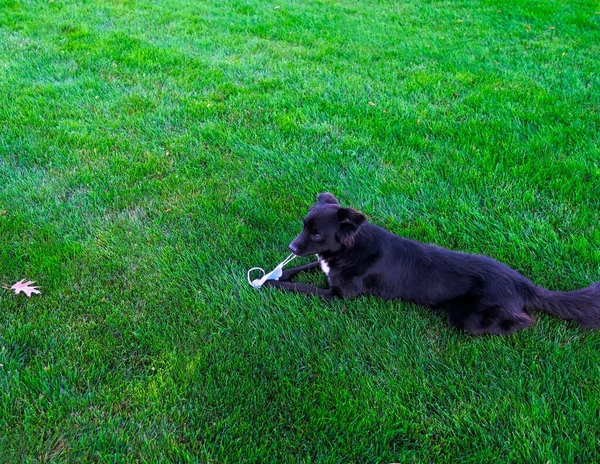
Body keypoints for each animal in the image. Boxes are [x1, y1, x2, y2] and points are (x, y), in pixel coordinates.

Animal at [264, 192, 600, 334]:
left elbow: (302, 288)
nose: (291, 246)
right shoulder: (326, 267)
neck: (352, 247)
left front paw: (270, 285)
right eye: (304, 226)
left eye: (316, 233)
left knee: (521, 321)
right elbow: (300, 269)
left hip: (471, 320)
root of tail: (521, 283)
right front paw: (275, 275)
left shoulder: (338, 295)